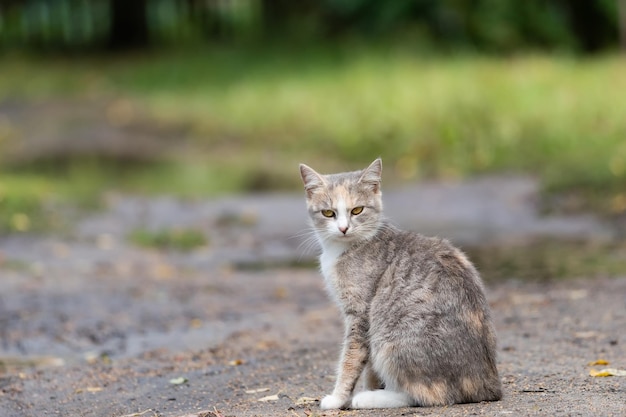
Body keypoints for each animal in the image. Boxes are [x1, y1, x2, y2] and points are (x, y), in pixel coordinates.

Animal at [298, 158, 502, 408]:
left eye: (357, 210)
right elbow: (369, 367)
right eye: (328, 213)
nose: (343, 228)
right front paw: (371, 385)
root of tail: (488, 384)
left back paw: (371, 398)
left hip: (390, 340)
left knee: (429, 395)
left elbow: (351, 359)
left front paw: (338, 399)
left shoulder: (361, 313)